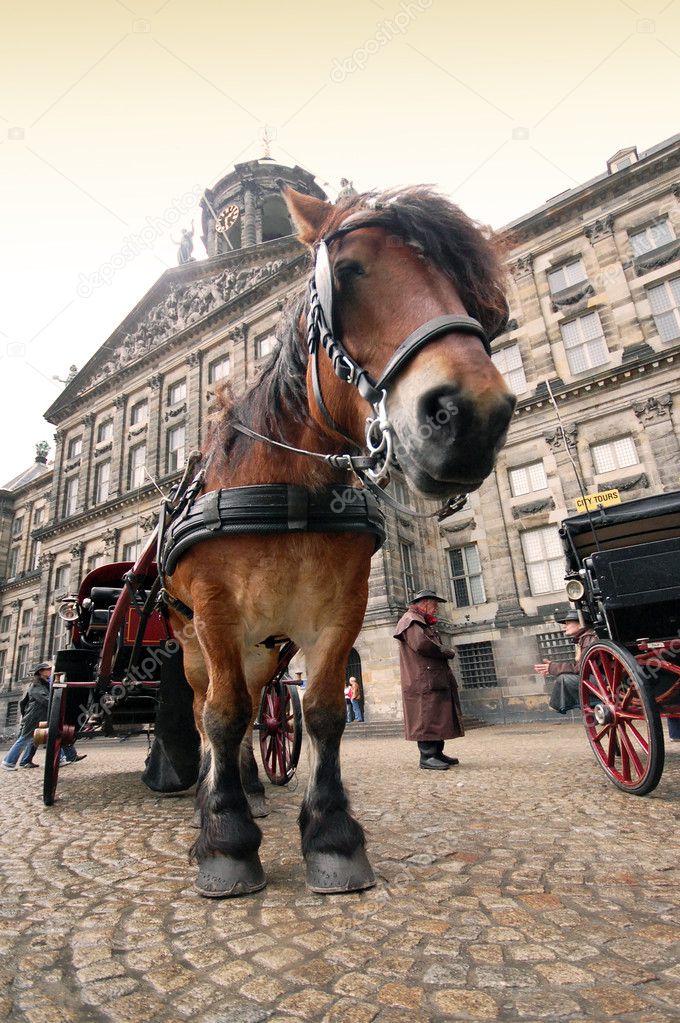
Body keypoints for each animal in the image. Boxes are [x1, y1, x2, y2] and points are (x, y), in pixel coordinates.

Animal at [162, 184, 516, 898]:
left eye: (474, 295)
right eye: (346, 271)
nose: (471, 416)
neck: (285, 485)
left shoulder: (342, 610)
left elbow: (321, 710)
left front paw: (330, 836)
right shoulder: (215, 612)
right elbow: (220, 715)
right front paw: (225, 842)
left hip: (264, 646)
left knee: (254, 710)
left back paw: (250, 788)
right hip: (193, 639)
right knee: (208, 708)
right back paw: (211, 800)